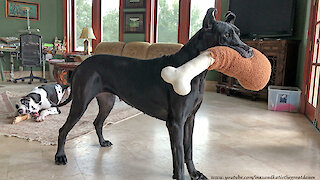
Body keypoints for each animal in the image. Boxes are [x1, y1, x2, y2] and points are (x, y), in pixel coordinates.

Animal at [55, 8, 252, 180]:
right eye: (226, 35)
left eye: (238, 33)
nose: (249, 51)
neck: (195, 71)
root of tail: (81, 64)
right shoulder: (176, 123)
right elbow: (179, 154)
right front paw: (180, 176)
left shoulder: (190, 119)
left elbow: (187, 150)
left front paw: (194, 173)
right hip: (80, 103)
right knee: (63, 129)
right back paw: (60, 156)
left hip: (107, 101)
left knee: (97, 122)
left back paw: (102, 142)